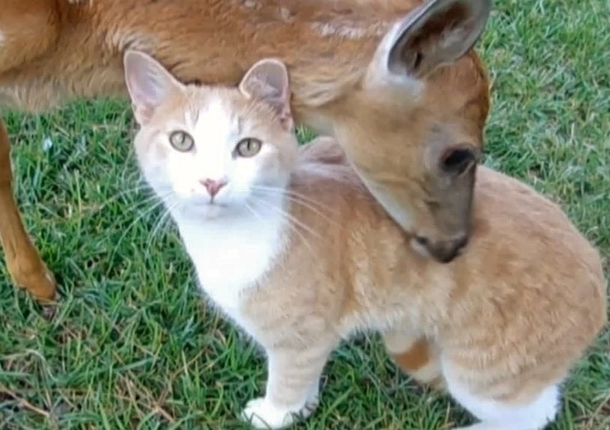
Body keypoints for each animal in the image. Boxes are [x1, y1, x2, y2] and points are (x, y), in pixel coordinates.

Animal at [122, 50, 604, 430]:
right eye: (181, 141)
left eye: (247, 147)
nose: (212, 182)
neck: (233, 237)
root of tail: (597, 269)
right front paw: (303, 408)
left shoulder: (302, 337)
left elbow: (287, 380)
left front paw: (275, 414)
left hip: (485, 374)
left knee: (535, 412)